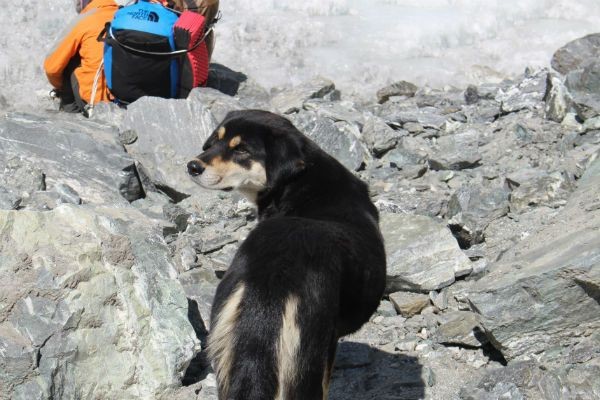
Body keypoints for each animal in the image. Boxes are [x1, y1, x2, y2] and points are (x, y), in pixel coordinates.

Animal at [185, 110, 386, 400]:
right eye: (215, 141)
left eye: (241, 150)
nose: (192, 166)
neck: (300, 183)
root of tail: (272, 279)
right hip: (306, 366)